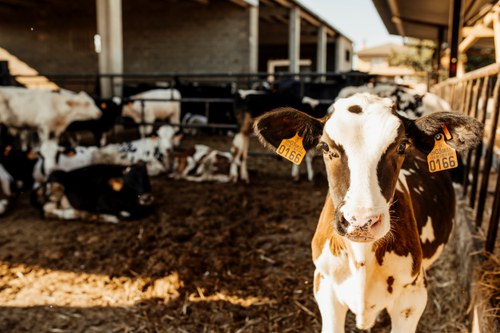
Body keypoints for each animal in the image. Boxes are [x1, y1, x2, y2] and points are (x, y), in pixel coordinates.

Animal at [254, 92, 484, 330]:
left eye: (402, 146)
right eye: (325, 147)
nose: (360, 221)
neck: (362, 258)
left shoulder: (412, 298)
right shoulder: (324, 285)